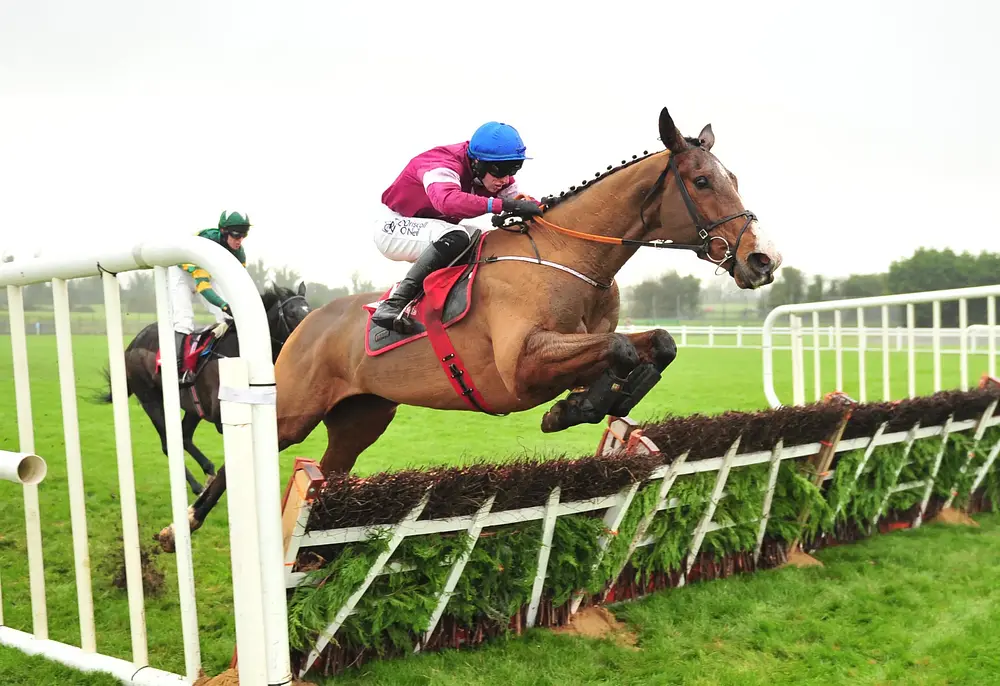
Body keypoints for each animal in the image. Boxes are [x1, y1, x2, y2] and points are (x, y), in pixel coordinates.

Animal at [103, 282, 311, 495]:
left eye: (309, 310)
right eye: (292, 313)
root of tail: (132, 344)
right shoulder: (220, 416)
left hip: (193, 407)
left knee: (185, 437)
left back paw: (208, 469)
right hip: (151, 399)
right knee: (169, 443)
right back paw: (196, 486)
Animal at [155, 106, 782, 551]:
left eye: (731, 176)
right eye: (701, 182)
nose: (763, 259)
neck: (570, 259)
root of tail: (309, 319)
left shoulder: (576, 347)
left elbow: (654, 346)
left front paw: (597, 403)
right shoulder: (522, 366)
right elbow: (622, 349)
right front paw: (574, 408)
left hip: (361, 418)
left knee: (331, 472)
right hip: (293, 409)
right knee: (236, 461)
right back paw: (178, 526)